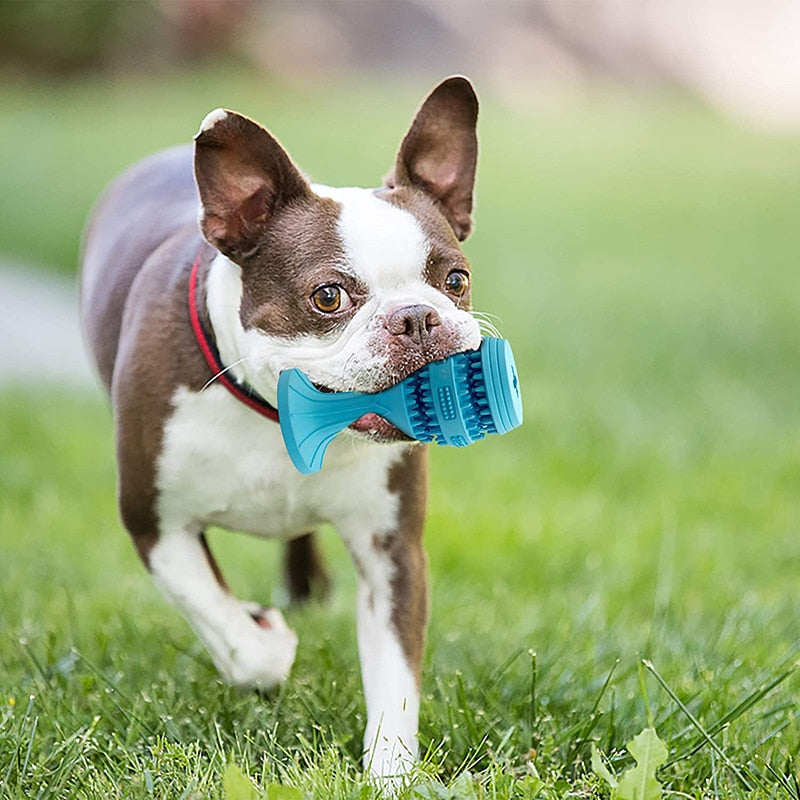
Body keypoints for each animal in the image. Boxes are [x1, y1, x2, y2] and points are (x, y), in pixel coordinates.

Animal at [79, 78, 482, 780]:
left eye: (454, 279)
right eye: (328, 297)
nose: (417, 317)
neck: (279, 414)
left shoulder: (393, 551)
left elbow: (395, 675)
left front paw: (391, 774)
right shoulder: (156, 523)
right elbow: (235, 634)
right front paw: (262, 632)